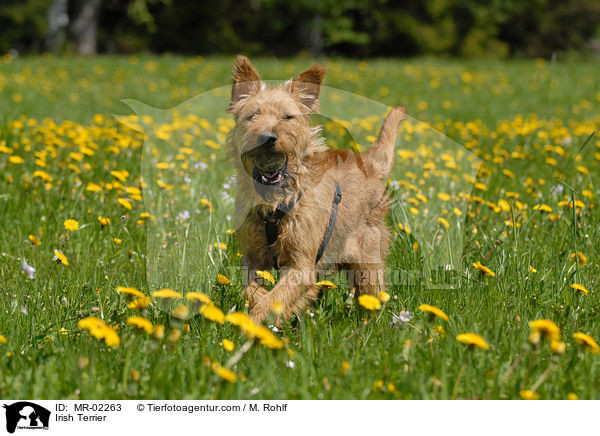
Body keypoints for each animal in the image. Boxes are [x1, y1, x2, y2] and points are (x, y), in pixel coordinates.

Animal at [227, 55, 406, 324]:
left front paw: (256, 324)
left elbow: (271, 300)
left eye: (287, 117)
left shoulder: (301, 266)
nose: (267, 138)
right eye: (252, 116)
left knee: (373, 298)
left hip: (368, 264)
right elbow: (253, 291)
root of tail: (369, 164)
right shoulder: (252, 257)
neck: (276, 202)